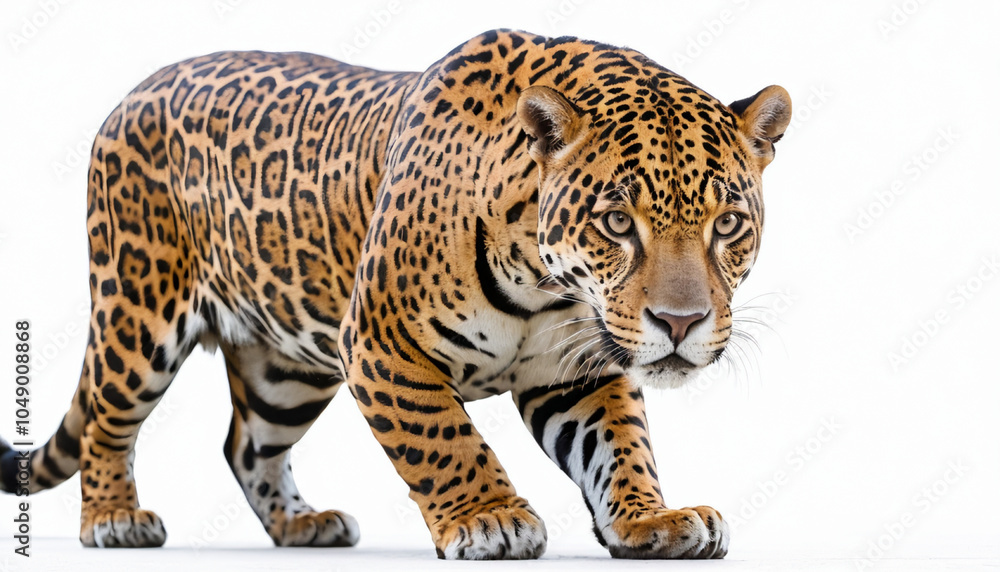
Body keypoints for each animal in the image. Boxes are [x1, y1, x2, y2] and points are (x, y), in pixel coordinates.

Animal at [0, 29, 790, 559]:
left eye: (726, 224)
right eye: (617, 223)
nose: (680, 322)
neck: (545, 285)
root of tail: (136, 90)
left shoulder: (577, 372)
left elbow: (621, 447)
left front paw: (650, 521)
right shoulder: (383, 344)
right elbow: (444, 440)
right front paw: (489, 519)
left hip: (286, 368)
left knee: (247, 444)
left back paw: (301, 525)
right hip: (139, 313)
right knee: (108, 422)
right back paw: (112, 520)